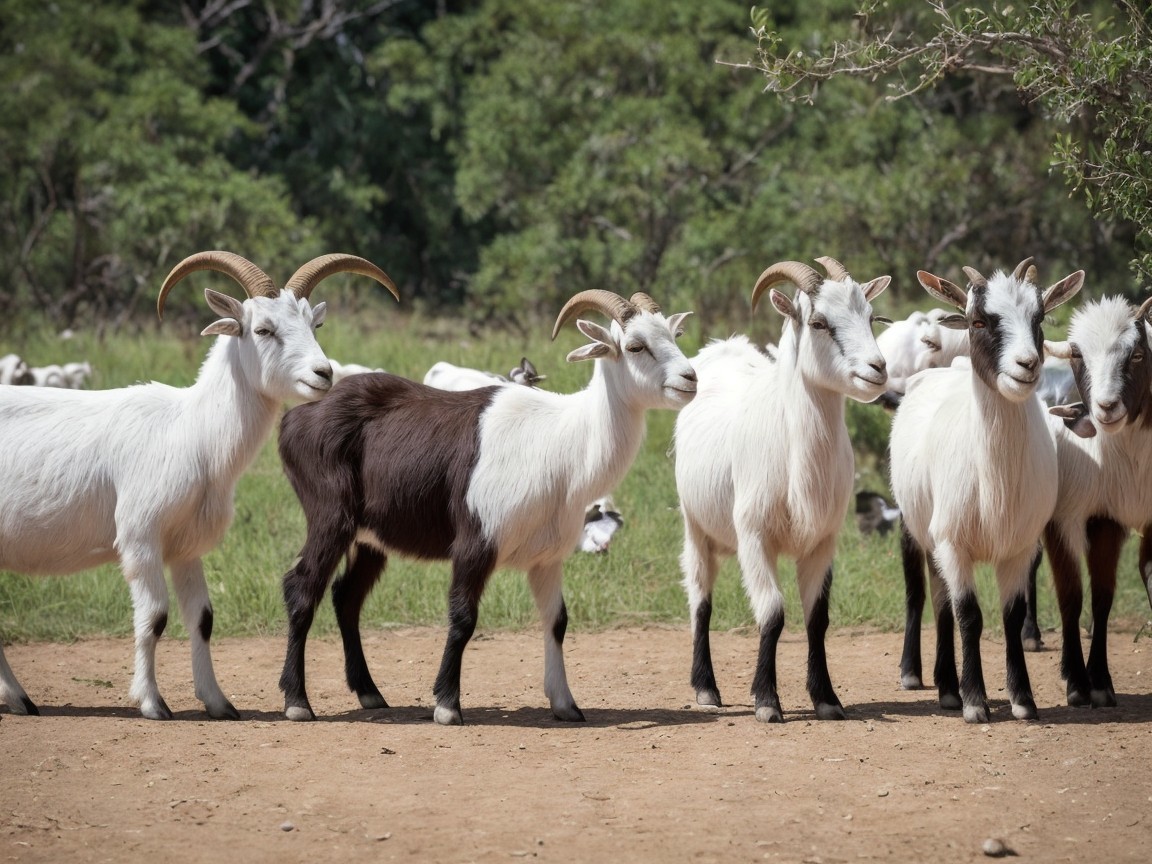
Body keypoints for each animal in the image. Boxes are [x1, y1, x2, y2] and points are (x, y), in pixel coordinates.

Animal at [0, 251, 397, 720]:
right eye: (263, 329)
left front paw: (219, 702)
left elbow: (203, 618)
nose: (323, 373)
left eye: (314, 324)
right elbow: (154, 617)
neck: (189, 431)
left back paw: (20, 699)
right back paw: (20, 698)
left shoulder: (186, 548)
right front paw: (153, 703)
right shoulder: (141, 540)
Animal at [276, 290, 696, 724]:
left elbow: (557, 621)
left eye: (674, 335)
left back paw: (370, 693)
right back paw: (297, 701)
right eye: (636, 346)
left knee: (346, 597)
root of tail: (299, 415)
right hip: (331, 520)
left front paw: (566, 704)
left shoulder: (547, 559)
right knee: (301, 588)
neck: (560, 439)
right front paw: (447, 706)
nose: (690, 378)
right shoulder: (475, 544)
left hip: (370, 539)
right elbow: (463, 617)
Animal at [674, 257, 889, 722]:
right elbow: (772, 612)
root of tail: (724, 347)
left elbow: (817, 618)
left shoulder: (823, 541)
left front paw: (827, 699)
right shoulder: (755, 535)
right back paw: (706, 688)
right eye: (819, 322)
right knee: (700, 599)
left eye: (870, 316)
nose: (878, 369)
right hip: (694, 525)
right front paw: (767, 702)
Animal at [891, 257, 1083, 722]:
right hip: (914, 525)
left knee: (940, 601)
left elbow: (1011, 616)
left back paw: (947, 688)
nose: (1026, 365)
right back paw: (918, 675)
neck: (994, 481)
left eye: (1039, 318)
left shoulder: (1019, 546)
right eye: (979, 321)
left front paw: (1023, 699)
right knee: (922, 595)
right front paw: (976, 701)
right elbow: (969, 616)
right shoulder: (954, 542)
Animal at [1042, 295, 1152, 707]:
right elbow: (1071, 597)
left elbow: (1104, 599)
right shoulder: (1067, 520)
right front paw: (1078, 684)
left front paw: (1101, 682)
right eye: (1078, 356)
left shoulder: (1113, 522)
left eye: (1137, 354)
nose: (1106, 407)